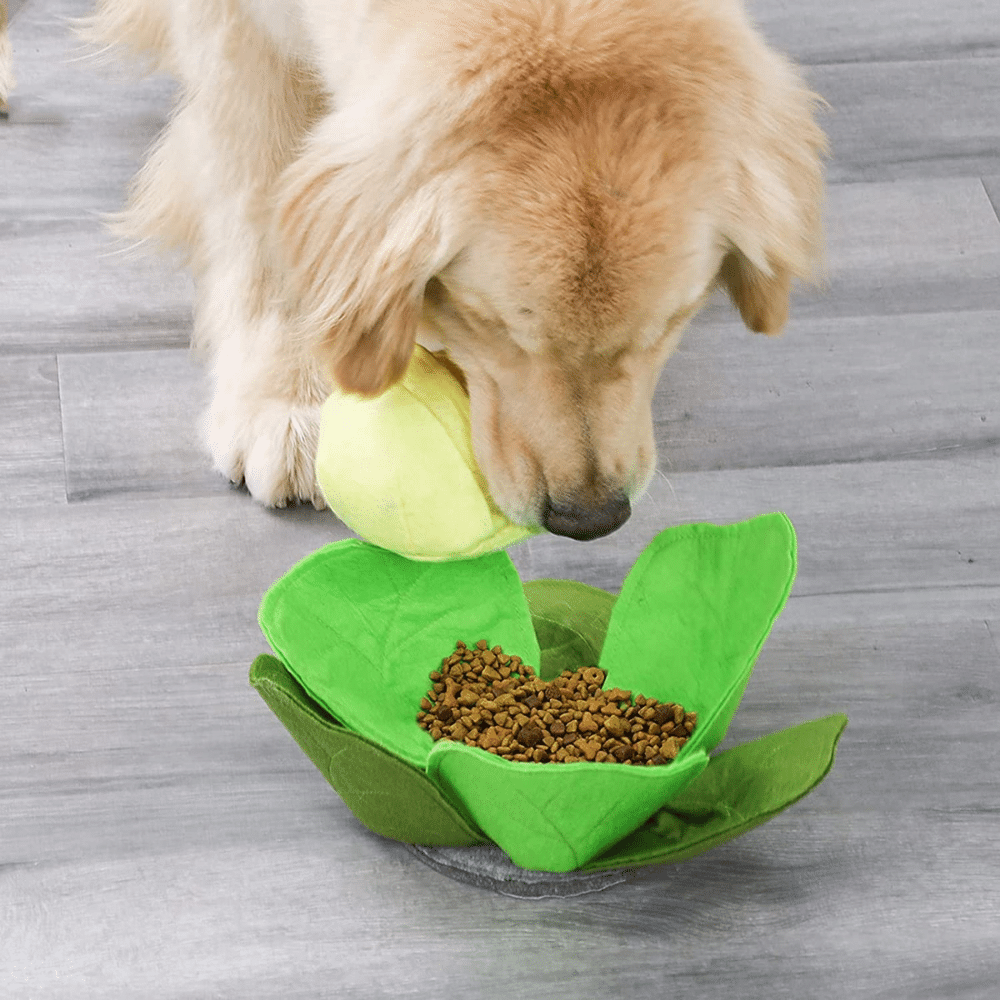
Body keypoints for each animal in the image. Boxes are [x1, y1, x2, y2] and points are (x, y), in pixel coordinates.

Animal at [82, 0, 824, 544]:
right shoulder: (238, 35)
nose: (589, 519)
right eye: (487, 324)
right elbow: (263, 196)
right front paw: (288, 398)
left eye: (673, 321)